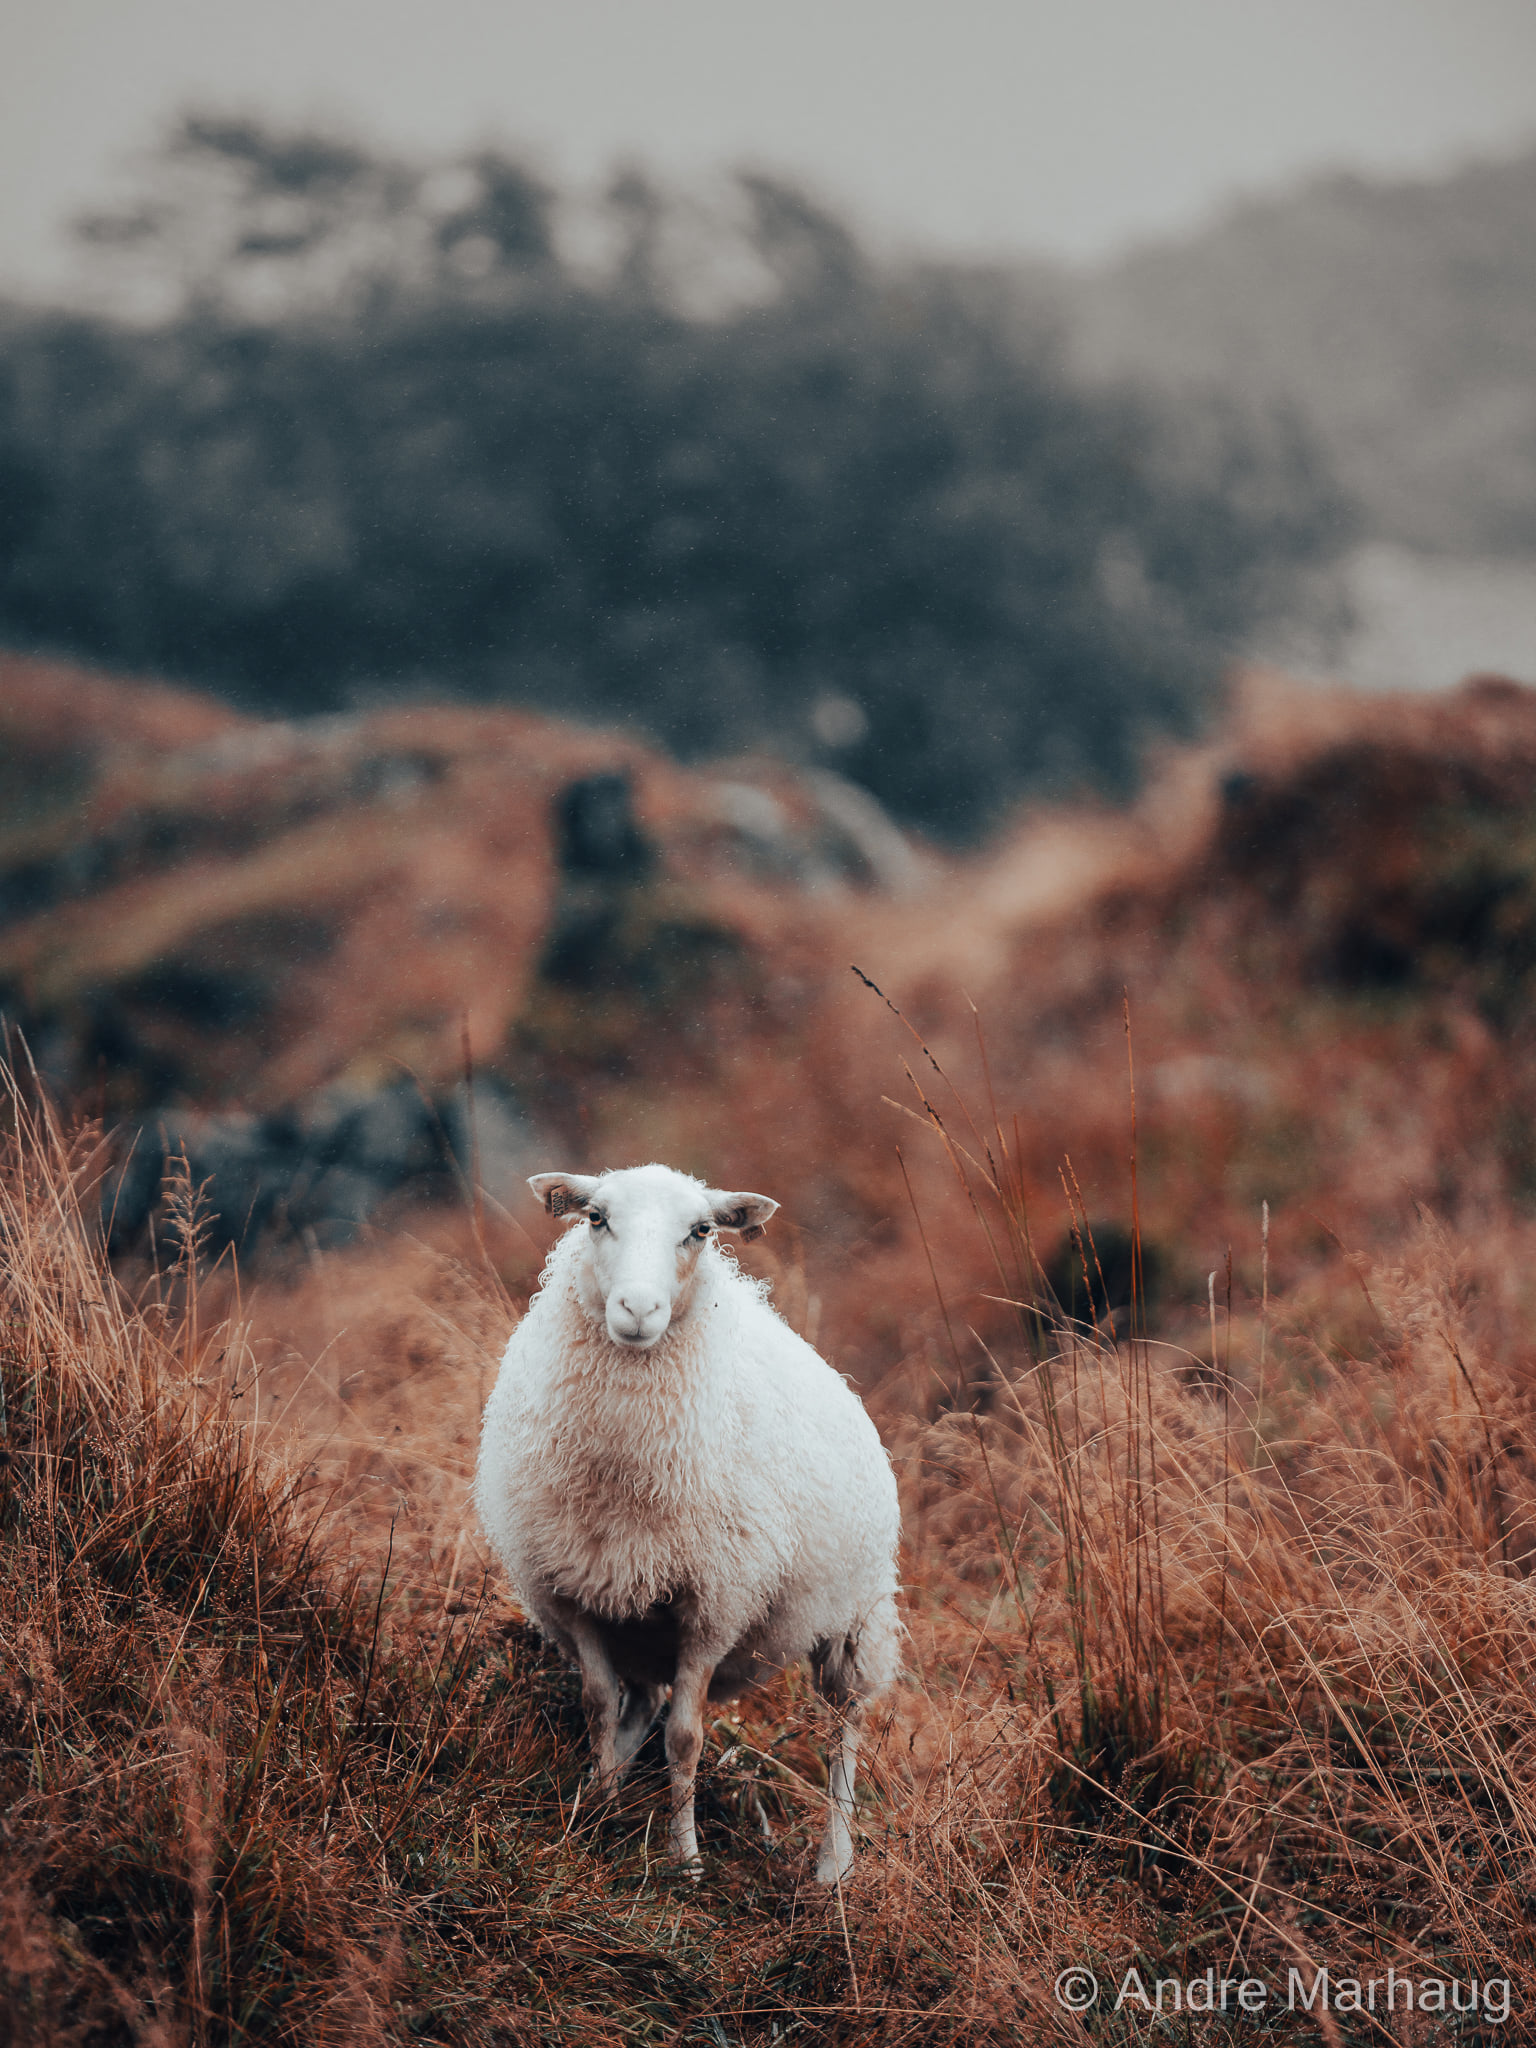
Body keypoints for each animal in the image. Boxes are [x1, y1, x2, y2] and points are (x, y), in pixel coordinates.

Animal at [479, 1163, 901, 1875]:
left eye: (701, 1230)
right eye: (596, 1217)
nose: (638, 1310)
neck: (624, 1473)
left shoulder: (714, 1606)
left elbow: (685, 1737)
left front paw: (686, 1859)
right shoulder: (572, 1591)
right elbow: (598, 1707)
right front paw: (591, 1822)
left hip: (855, 1618)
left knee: (843, 1729)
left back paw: (833, 1866)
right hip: (640, 1626)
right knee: (641, 1703)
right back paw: (608, 1789)